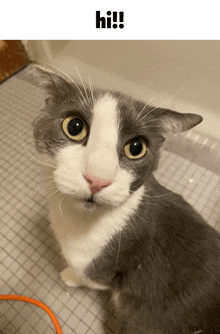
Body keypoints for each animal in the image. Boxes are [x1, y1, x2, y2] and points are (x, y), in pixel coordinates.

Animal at [32, 66, 220, 334]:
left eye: (136, 147)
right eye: (74, 127)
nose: (97, 179)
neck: (82, 220)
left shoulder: (102, 268)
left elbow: (90, 278)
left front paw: (69, 276)